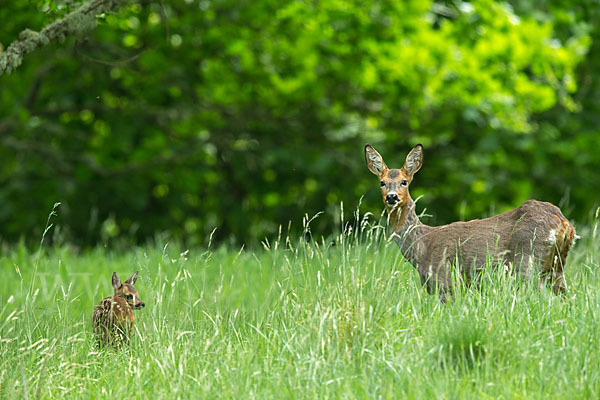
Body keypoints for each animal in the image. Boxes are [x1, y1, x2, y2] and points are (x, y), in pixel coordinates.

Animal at [366, 144, 576, 300]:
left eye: (404, 181)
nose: (392, 197)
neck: (421, 245)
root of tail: (563, 222)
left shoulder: (443, 278)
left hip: (527, 259)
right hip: (556, 266)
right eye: (382, 182)